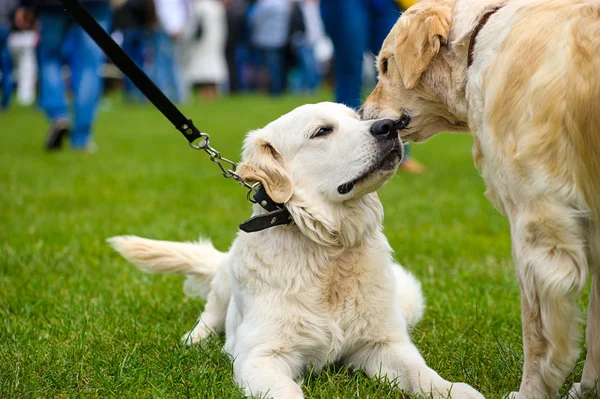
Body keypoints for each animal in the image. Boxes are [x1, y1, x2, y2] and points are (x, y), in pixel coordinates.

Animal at [108, 104, 482, 399]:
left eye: (358, 118)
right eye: (322, 131)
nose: (390, 125)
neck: (329, 249)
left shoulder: (383, 344)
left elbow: (422, 375)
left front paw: (457, 390)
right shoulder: (262, 356)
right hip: (224, 287)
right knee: (209, 314)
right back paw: (194, 339)